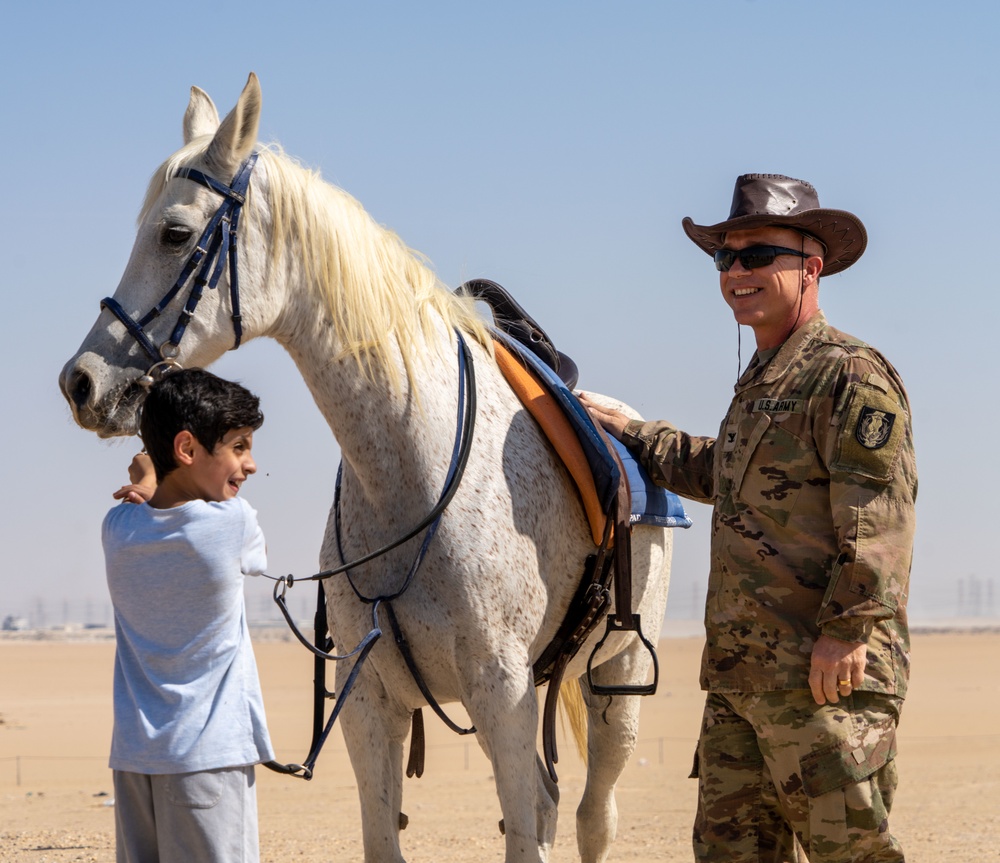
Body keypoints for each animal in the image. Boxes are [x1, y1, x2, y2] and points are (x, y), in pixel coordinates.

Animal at [60, 74, 672, 863]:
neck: (410, 475)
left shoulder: (501, 692)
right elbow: (390, 834)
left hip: (614, 679)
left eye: (174, 232)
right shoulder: (370, 705)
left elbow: (531, 821)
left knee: (594, 814)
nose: (81, 381)